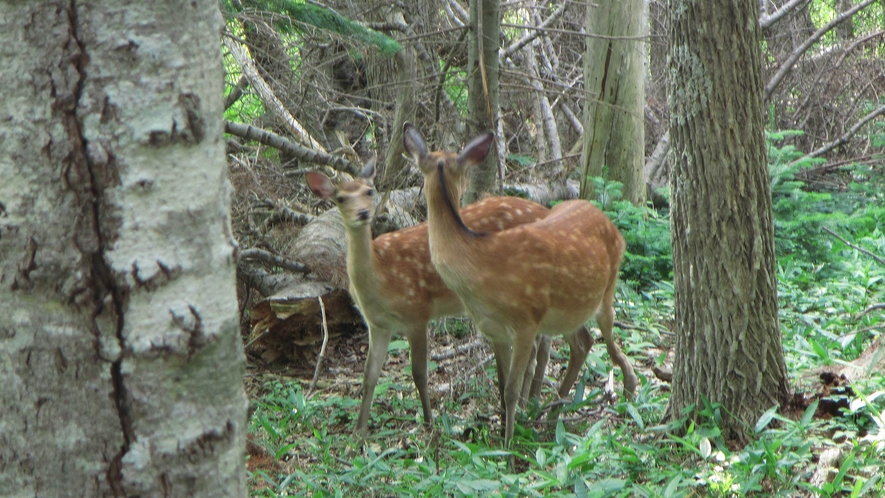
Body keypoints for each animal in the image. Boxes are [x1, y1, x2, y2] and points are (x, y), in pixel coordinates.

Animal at [302, 157, 552, 436]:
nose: (363, 214)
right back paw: (529, 402)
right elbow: (369, 375)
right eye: (341, 198)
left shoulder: (416, 311)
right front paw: (359, 433)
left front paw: (429, 423)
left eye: (369, 191)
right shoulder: (378, 324)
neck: (380, 278)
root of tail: (545, 211)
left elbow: (419, 373)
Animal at [404, 123, 640, 444]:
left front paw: (509, 444)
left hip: (606, 290)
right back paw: (553, 412)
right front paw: (504, 429)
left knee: (608, 339)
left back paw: (629, 388)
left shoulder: (526, 320)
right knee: (583, 343)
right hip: (566, 310)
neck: (480, 268)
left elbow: (512, 389)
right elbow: (501, 384)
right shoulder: (494, 330)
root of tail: (613, 226)